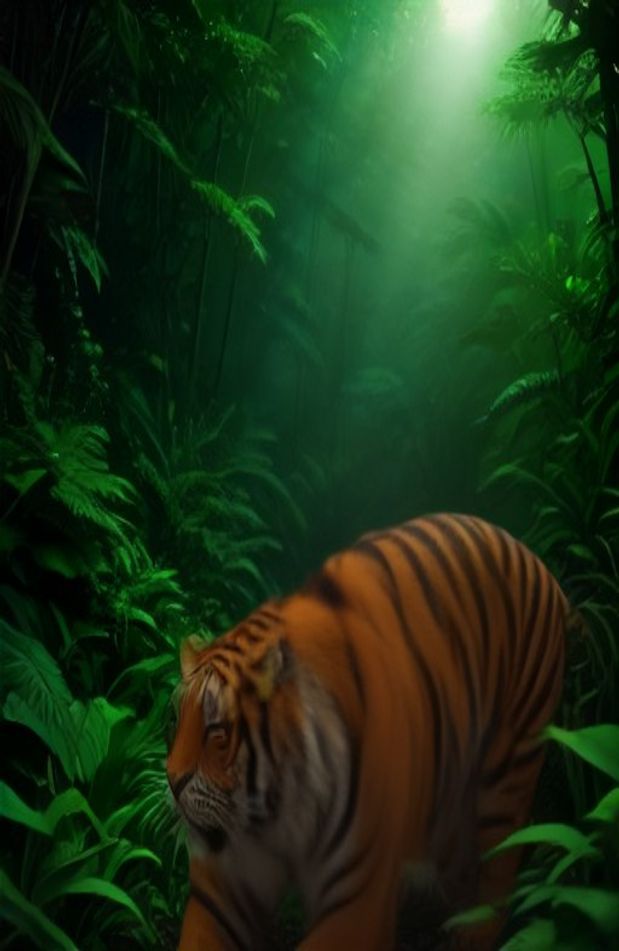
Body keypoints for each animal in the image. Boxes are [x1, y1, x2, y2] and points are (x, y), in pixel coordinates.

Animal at [166, 513, 568, 950]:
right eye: (178, 719)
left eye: (217, 731)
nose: (172, 781)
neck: (276, 815)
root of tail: (536, 560)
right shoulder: (224, 887)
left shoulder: (359, 899)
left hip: (507, 777)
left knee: (496, 877)